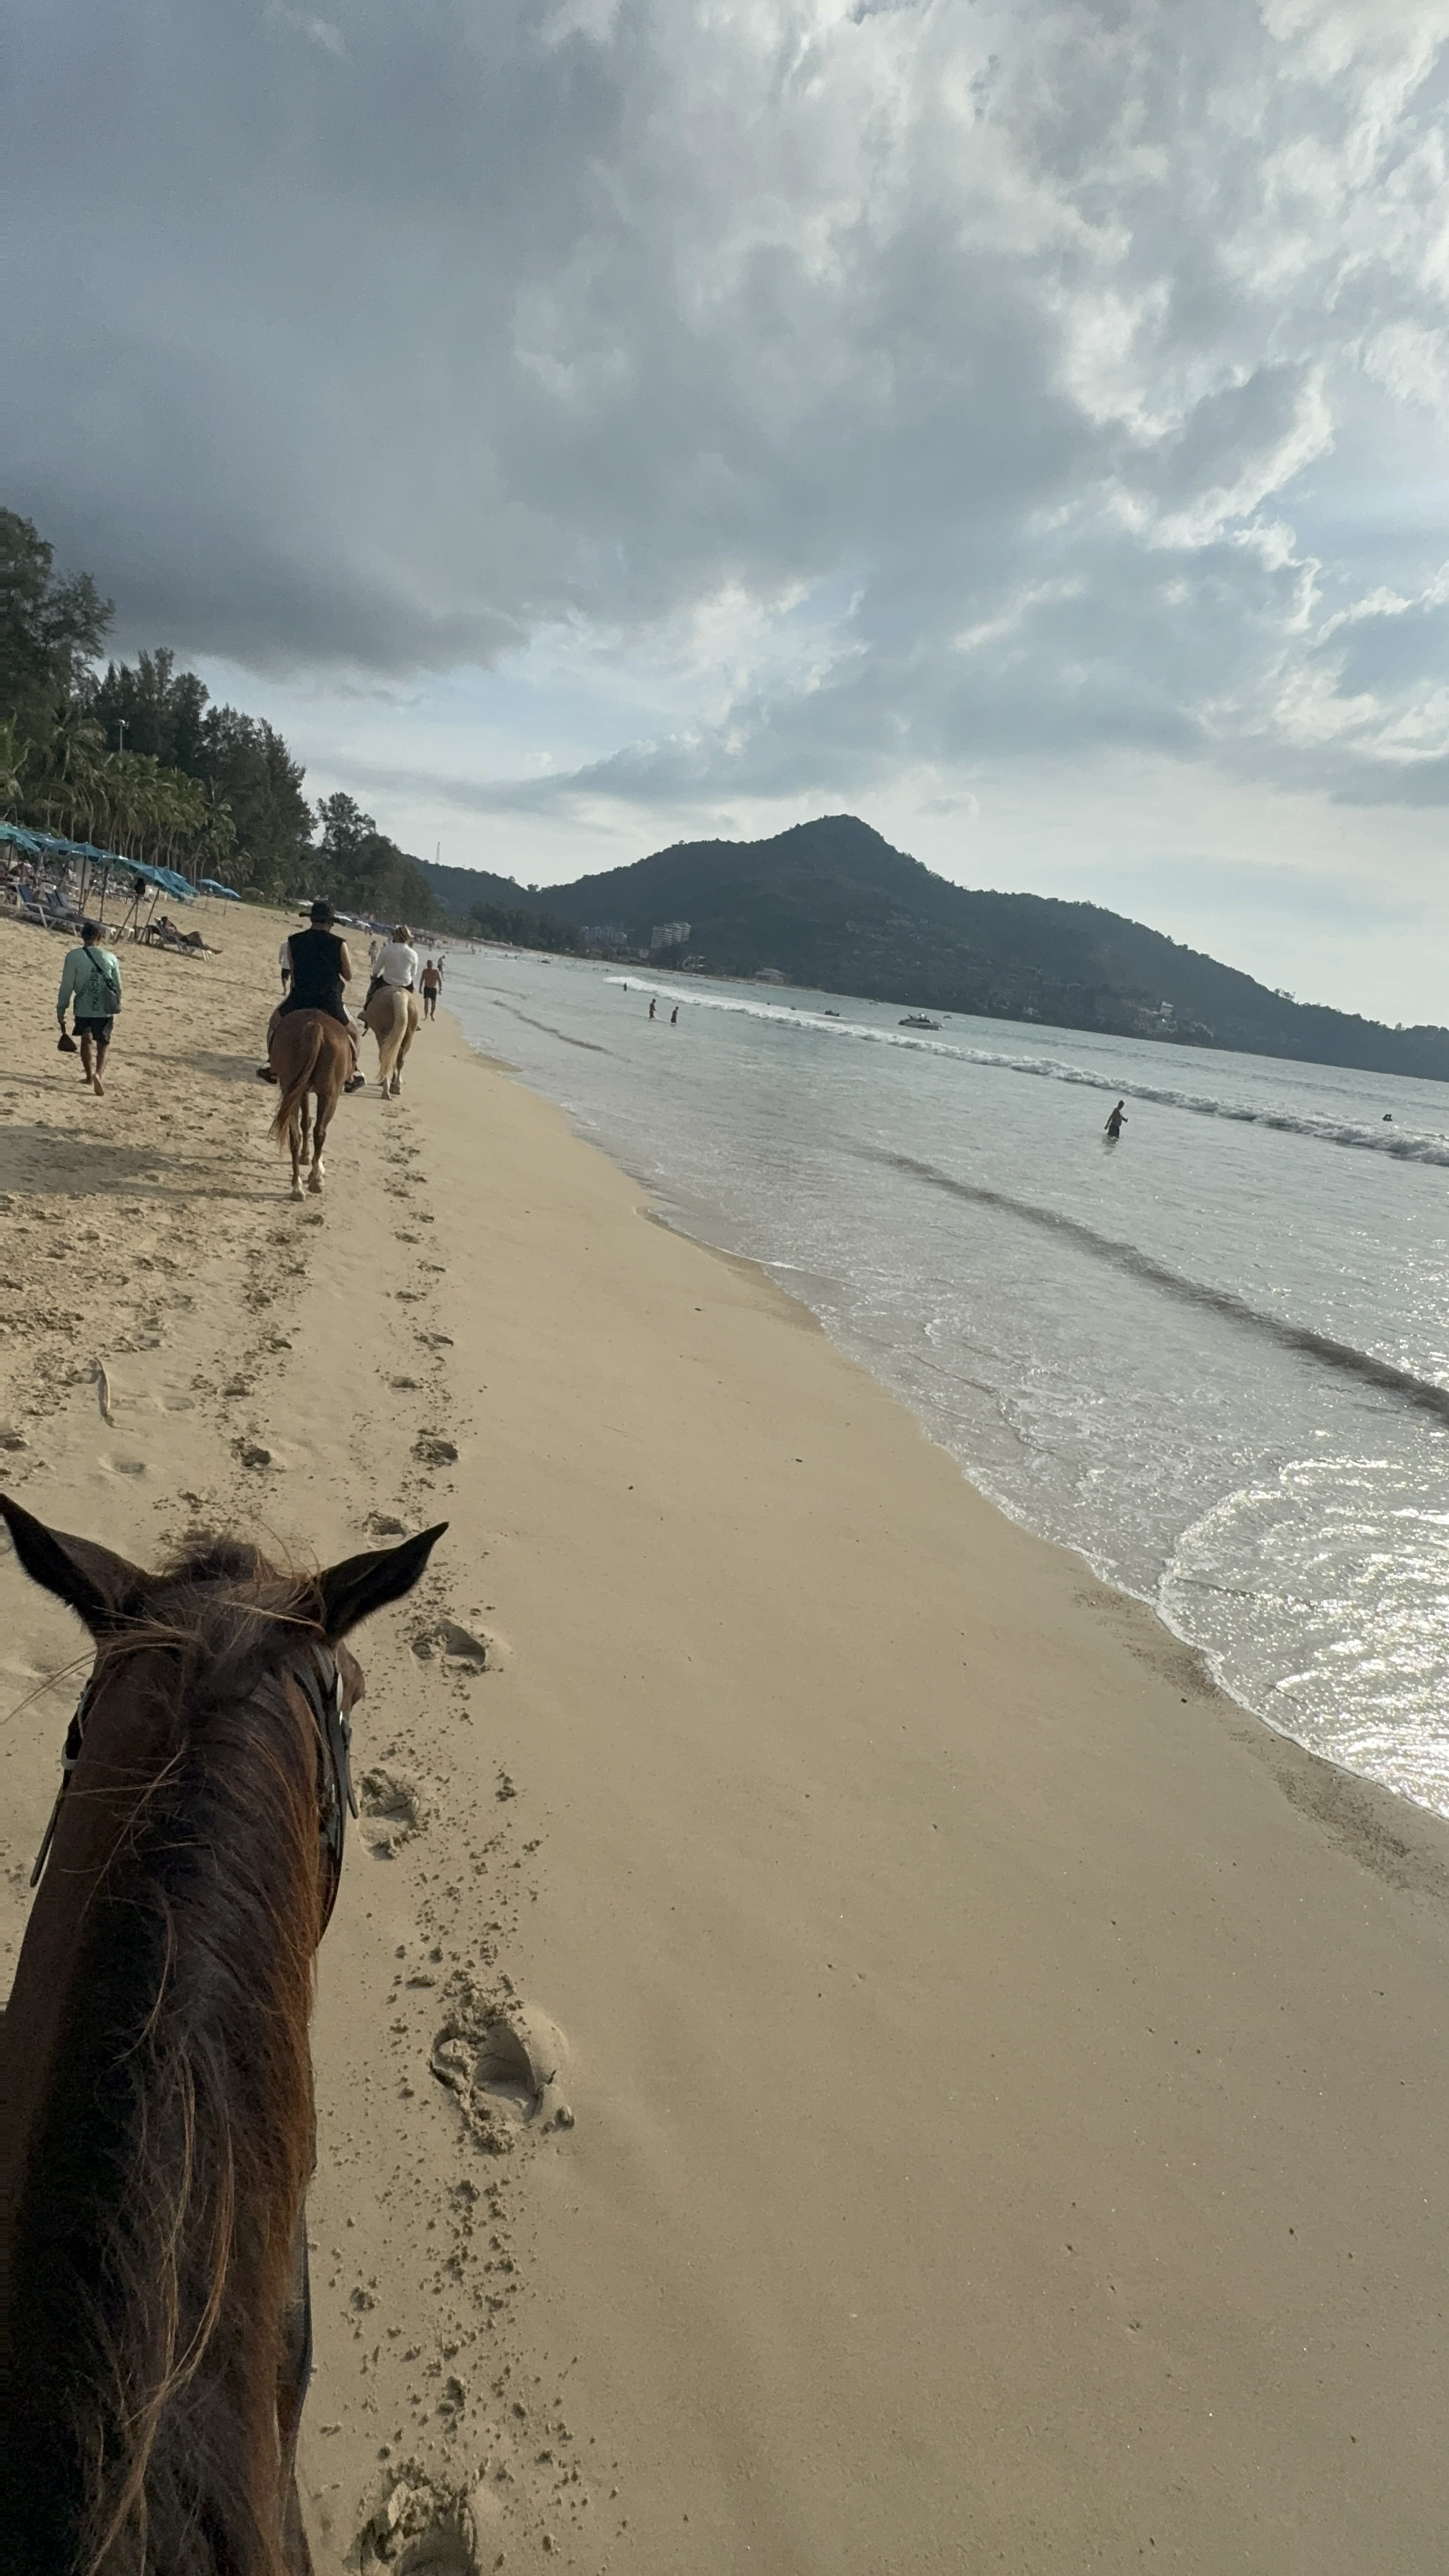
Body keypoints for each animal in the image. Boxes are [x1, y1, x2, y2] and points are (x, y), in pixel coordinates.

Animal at [268, 1010, 352, 1197]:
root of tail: (315, 1025)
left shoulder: (302, 1090)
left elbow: (305, 1121)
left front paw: (306, 1157)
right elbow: (310, 1123)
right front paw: (315, 1164)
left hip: (290, 1090)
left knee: (295, 1136)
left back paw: (297, 1187)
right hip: (330, 1095)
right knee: (320, 1132)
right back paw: (316, 1180)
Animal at [363, 987, 420, 1099]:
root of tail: (400, 995)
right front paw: (394, 1083)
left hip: (383, 1035)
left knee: (384, 1057)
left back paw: (385, 1090)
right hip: (408, 1036)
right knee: (400, 1059)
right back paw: (396, 1088)